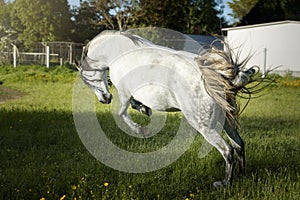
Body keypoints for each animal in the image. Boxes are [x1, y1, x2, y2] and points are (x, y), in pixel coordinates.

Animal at [75, 30, 258, 187]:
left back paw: (225, 183)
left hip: (204, 127)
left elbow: (122, 114)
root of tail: (217, 76)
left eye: (86, 79)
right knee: (239, 145)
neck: (120, 53)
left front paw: (142, 130)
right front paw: (144, 109)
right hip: (226, 121)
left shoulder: (124, 93)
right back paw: (241, 176)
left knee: (227, 150)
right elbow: (134, 105)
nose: (104, 99)